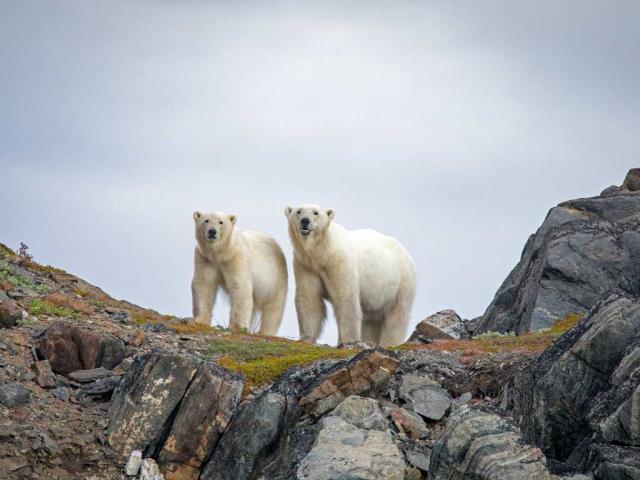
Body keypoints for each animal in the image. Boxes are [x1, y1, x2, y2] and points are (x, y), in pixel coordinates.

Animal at [285, 204, 416, 347]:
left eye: (316, 213)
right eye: (298, 211)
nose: (305, 221)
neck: (323, 251)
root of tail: (406, 253)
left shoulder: (340, 262)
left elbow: (346, 298)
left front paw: (349, 340)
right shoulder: (306, 265)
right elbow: (309, 297)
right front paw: (306, 338)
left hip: (401, 283)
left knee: (397, 316)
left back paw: (389, 343)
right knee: (371, 320)